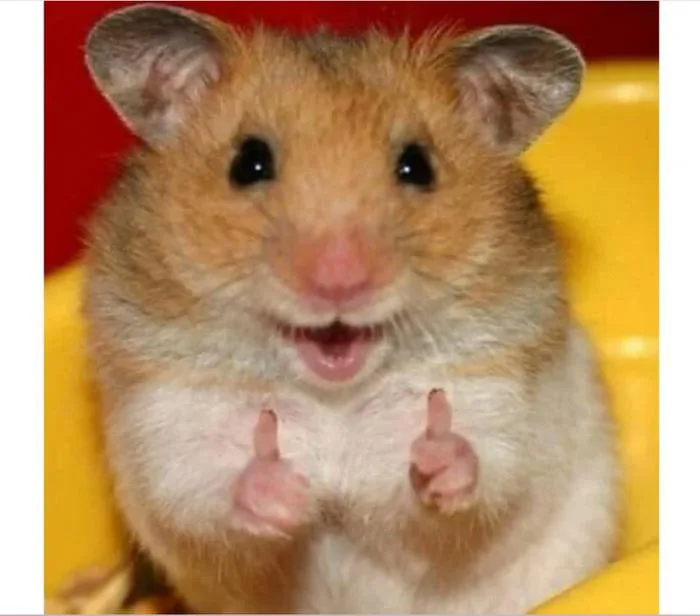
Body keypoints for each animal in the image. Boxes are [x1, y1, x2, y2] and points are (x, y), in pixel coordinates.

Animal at [82, 4, 619, 614]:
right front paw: (284, 490)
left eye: (418, 166)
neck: (332, 397)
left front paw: (436, 453)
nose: (339, 281)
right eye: (248, 162)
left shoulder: (501, 403)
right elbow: (206, 492)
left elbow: (480, 478)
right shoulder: (168, 425)